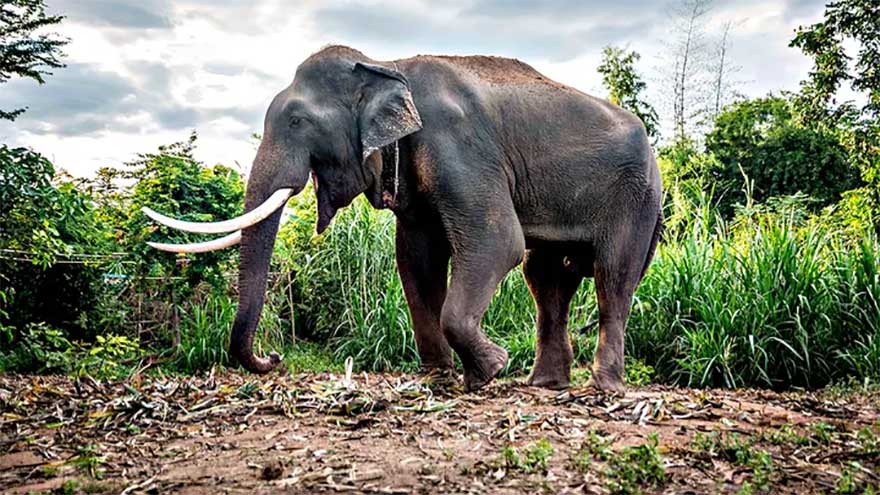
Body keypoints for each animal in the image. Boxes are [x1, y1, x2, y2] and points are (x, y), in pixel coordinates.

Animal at [143, 45, 663, 393]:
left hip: (637, 196)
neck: (387, 66)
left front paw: (489, 371)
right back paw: (545, 385)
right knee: (547, 277)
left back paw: (603, 387)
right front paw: (440, 375)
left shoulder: (458, 144)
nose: (272, 357)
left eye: (296, 122)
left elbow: (498, 242)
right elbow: (416, 261)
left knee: (612, 276)